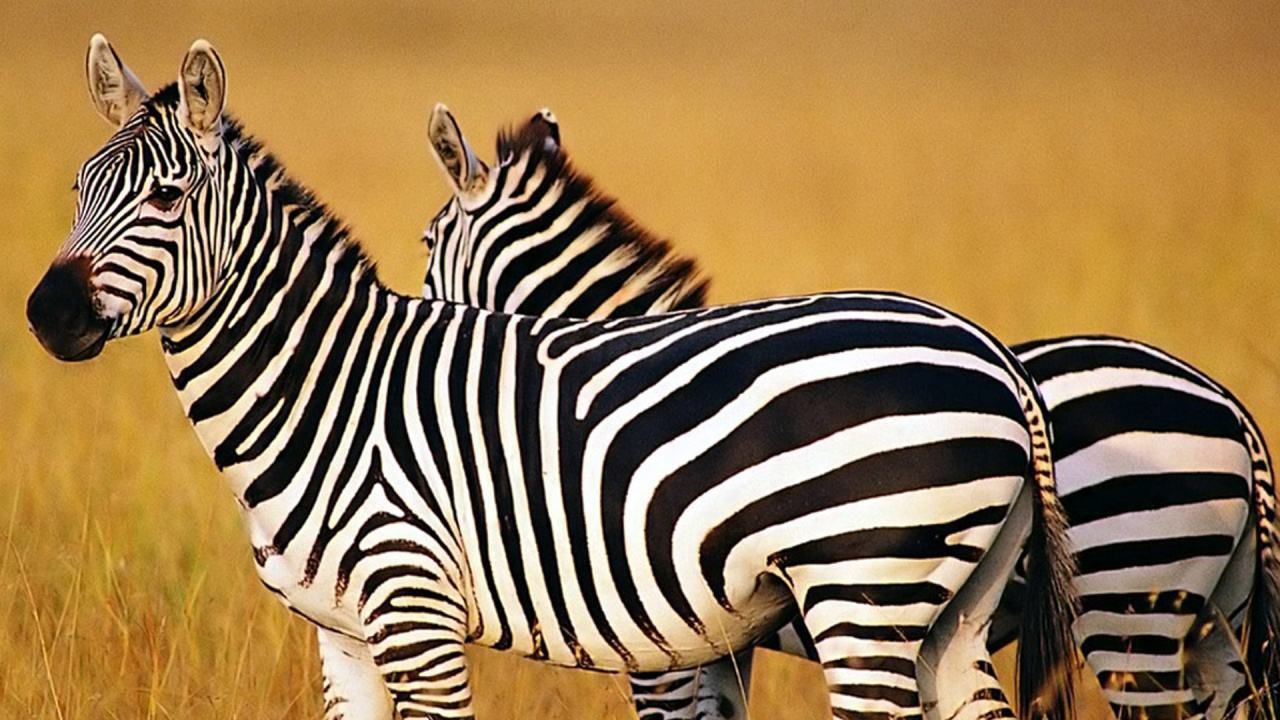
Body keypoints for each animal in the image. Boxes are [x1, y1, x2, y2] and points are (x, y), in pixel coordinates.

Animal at [25, 36, 1081, 720]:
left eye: (167, 196)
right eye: (79, 188)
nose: (46, 314)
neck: (329, 391)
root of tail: (990, 353)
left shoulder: (425, 616)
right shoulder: (342, 637)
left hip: (865, 588)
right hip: (954, 609)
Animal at [416, 105, 1280, 720]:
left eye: (426, 243)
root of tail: (1233, 410)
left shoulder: (661, 645)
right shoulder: (720, 644)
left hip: (1130, 604)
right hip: (1214, 620)